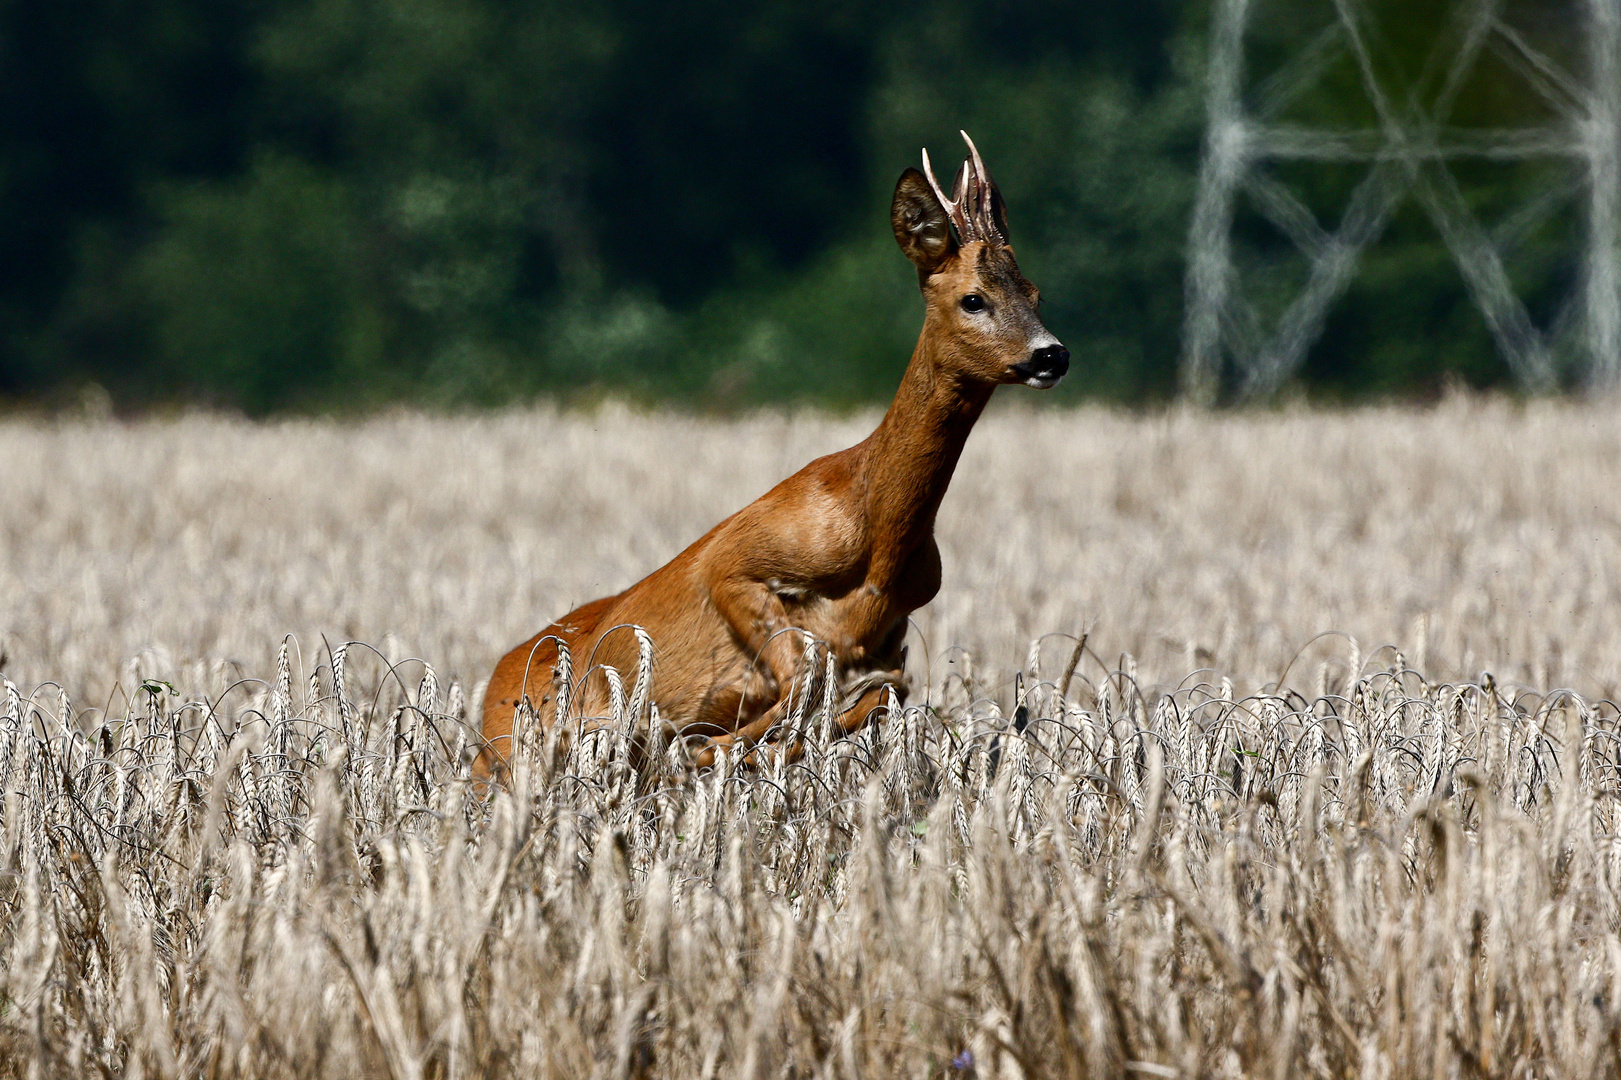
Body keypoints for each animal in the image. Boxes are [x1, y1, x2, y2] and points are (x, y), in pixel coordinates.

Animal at [473, 132, 1069, 775]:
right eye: (973, 299)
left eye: (1036, 293)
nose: (1051, 355)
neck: (879, 537)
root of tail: (488, 696)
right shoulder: (734, 564)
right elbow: (805, 681)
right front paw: (706, 748)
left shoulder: (892, 634)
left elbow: (877, 692)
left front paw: (721, 750)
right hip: (502, 757)